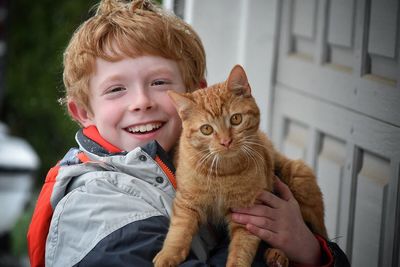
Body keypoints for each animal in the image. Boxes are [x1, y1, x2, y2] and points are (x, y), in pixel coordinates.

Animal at [152, 65, 326, 267]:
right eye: (206, 129)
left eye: (236, 119)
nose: (226, 141)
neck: (222, 172)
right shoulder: (187, 202)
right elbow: (179, 230)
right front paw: (169, 254)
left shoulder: (248, 214)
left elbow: (241, 249)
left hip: (301, 180)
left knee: (310, 232)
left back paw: (278, 254)